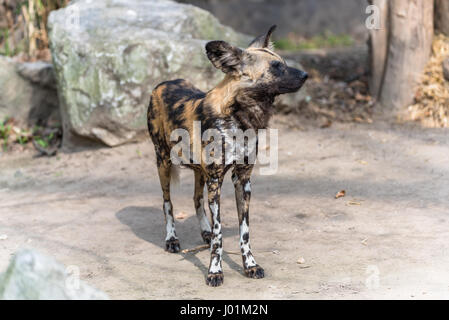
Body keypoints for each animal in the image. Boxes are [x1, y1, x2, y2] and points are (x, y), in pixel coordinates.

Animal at [148, 24, 308, 284]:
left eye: (283, 62)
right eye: (276, 67)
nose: (305, 75)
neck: (240, 118)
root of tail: (166, 81)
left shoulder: (242, 180)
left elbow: (244, 232)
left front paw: (250, 265)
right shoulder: (216, 181)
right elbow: (220, 234)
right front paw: (215, 271)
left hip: (199, 172)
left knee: (196, 199)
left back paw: (203, 231)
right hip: (163, 162)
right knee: (167, 203)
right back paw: (171, 239)